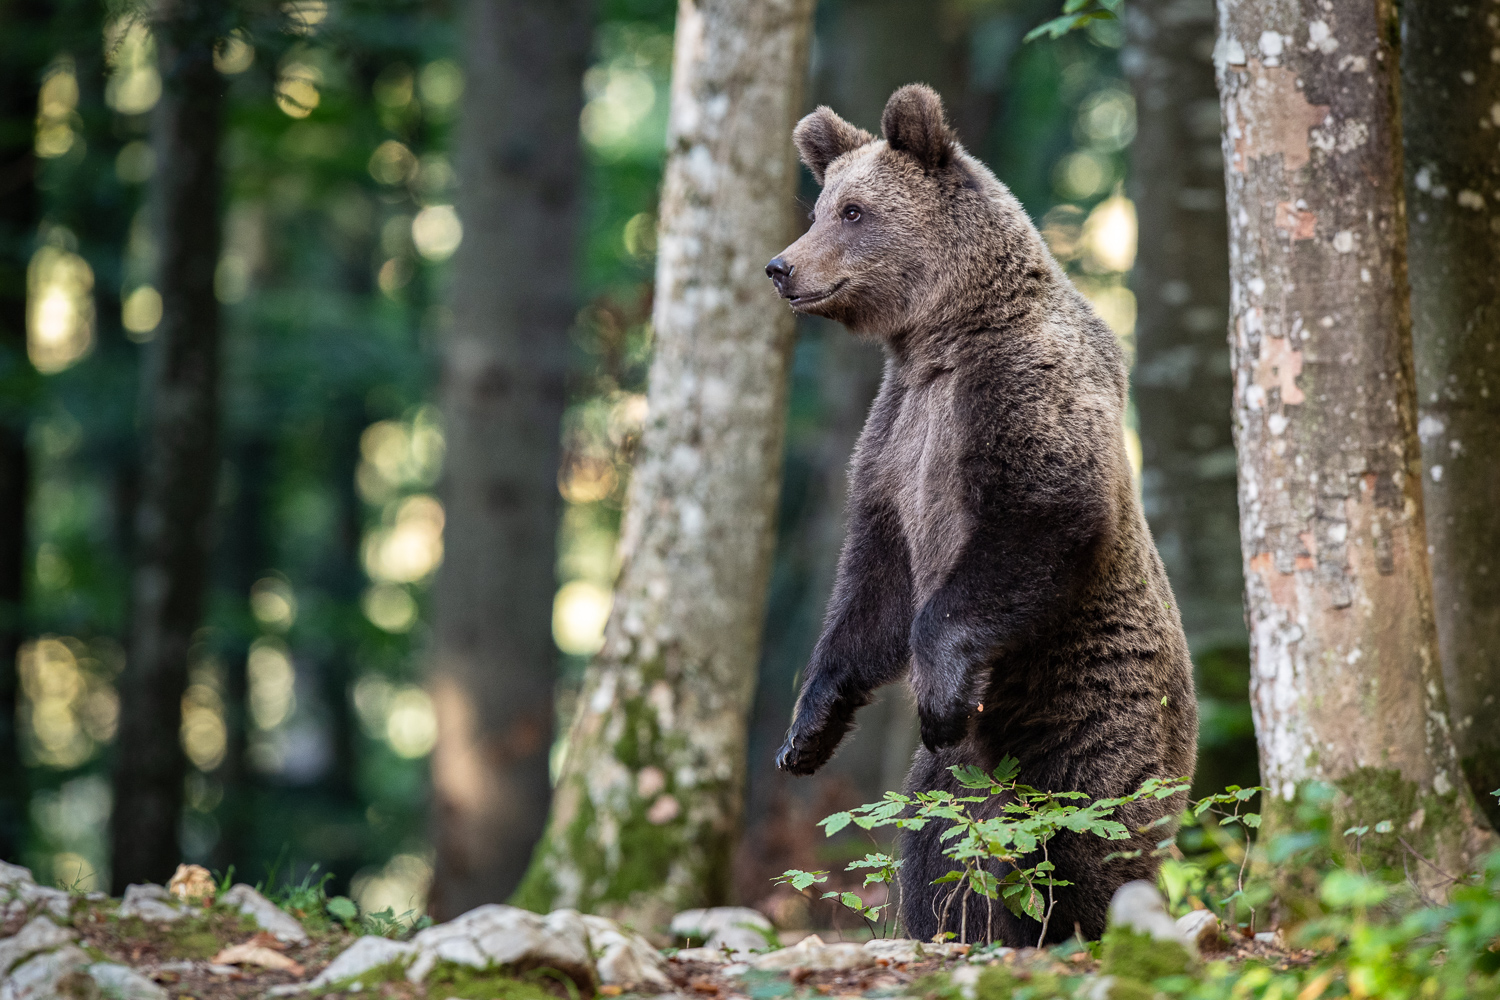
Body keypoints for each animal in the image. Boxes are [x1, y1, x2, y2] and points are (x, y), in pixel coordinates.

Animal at [762, 86, 1194, 947]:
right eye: (819, 206)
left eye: (854, 211)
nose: (782, 266)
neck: (941, 337)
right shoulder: (896, 437)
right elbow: (874, 584)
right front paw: (807, 730)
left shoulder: (1020, 392)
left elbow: (1037, 518)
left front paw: (937, 690)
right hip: (966, 770)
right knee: (943, 835)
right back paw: (955, 926)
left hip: (1095, 710)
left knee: (1093, 828)